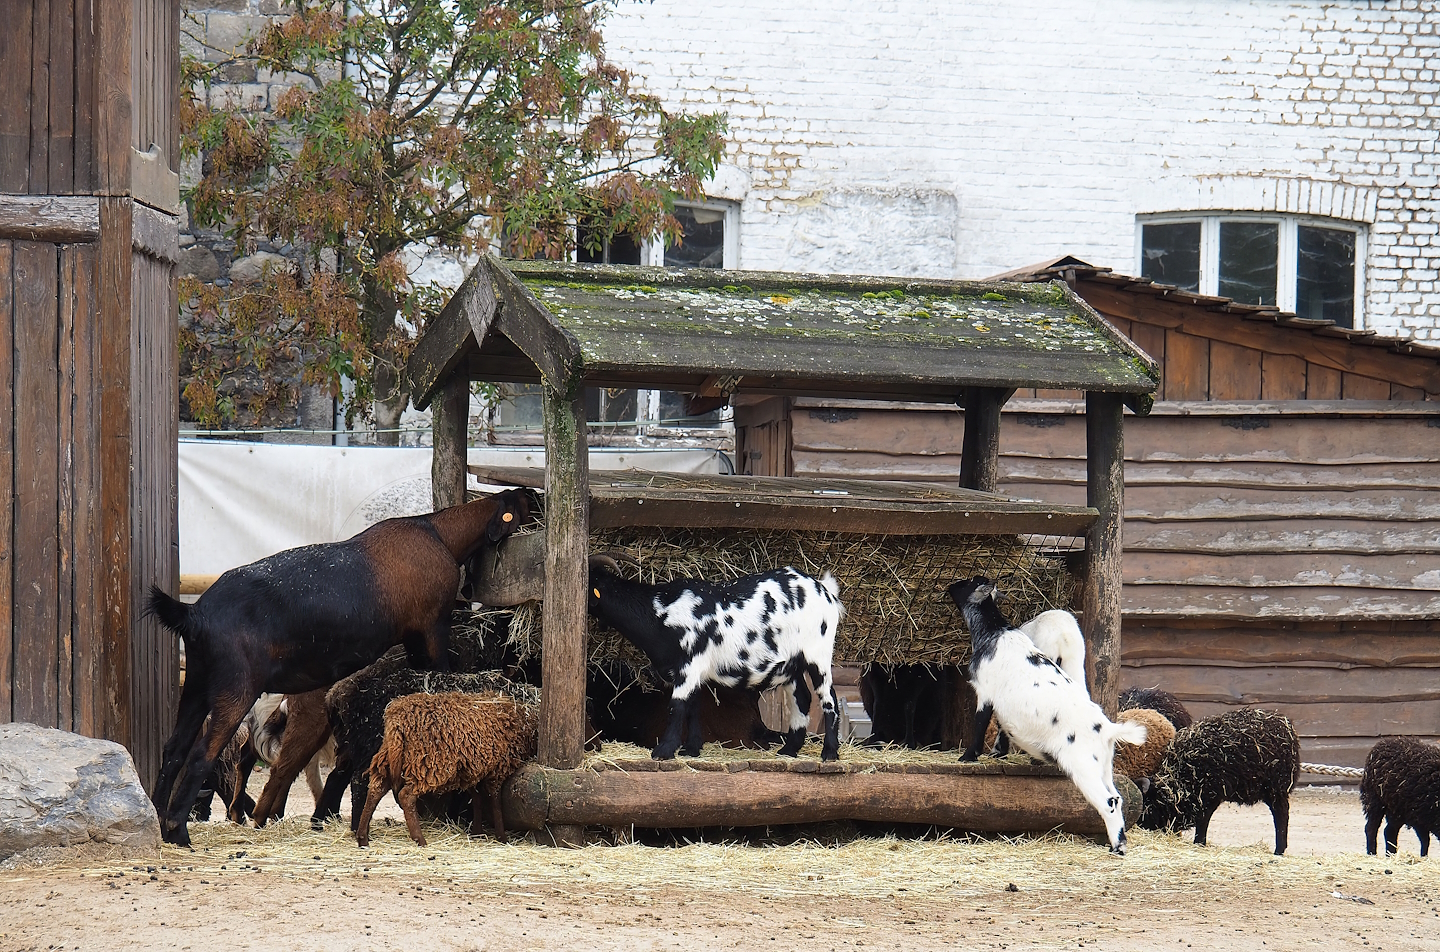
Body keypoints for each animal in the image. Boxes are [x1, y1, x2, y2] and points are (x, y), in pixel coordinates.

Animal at [355, 692, 539, 848]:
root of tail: (397, 719)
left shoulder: (475, 770)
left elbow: (478, 799)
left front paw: (477, 832)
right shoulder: (498, 768)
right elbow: (495, 801)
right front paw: (502, 837)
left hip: (389, 756)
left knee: (376, 789)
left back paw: (362, 838)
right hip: (428, 762)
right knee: (406, 796)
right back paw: (420, 840)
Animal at [587, 555, 845, 761]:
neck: (660, 612)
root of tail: (825, 590)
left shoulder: (690, 663)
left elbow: (677, 706)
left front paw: (664, 751)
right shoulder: (690, 672)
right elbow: (693, 706)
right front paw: (690, 749)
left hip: (818, 653)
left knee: (829, 697)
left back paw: (829, 753)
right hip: (792, 663)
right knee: (801, 697)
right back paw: (789, 750)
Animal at [948, 577, 1145, 854]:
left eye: (966, 583)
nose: (949, 586)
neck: (994, 632)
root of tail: (1108, 728)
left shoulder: (985, 692)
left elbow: (980, 723)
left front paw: (968, 757)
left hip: (1083, 766)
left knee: (1108, 801)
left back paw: (1117, 848)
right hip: (1103, 764)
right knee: (1117, 796)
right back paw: (1119, 844)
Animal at [1138, 707, 1300, 856]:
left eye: (1149, 805)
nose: (1139, 826)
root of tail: (1286, 725)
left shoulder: (1209, 796)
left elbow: (1203, 821)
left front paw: (1199, 843)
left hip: (1277, 788)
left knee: (1281, 815)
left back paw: (1279, 850)